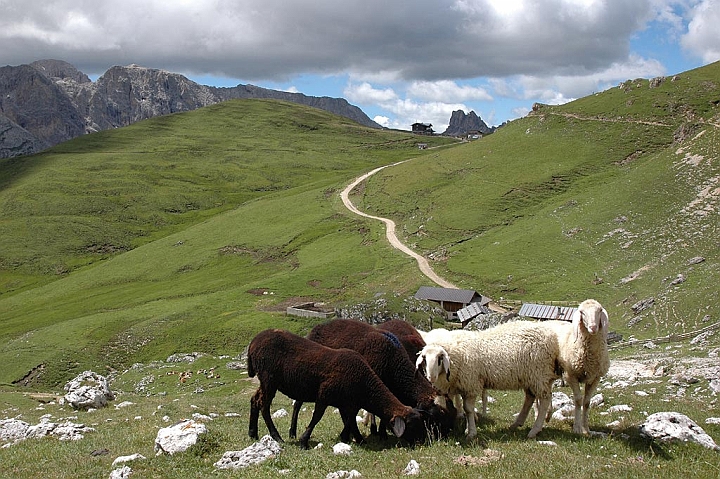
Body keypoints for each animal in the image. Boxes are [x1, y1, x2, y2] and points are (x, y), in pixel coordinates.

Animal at [288, 320, 452, 440]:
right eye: (434, 416)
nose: (443, 436)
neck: (392, 361)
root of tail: (316, 328)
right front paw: (376, 433)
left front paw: (380, 432)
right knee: (297, 404)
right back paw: (292, 432)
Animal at [416, 320, 564, 440]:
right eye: (424, 358)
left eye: (440, 358)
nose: (431, 377)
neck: (457, 354)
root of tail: (551, 336)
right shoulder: (460, 386)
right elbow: (462, 408)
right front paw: (467, 429)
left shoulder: (471, 384)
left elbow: (468, 409)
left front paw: (471, 433)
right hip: (530, 377)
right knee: (530, 398)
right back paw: (516, 424)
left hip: (539, 374)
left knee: (544, 400)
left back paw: (534, 430)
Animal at [536, 300, 612, 436]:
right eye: (582, 312)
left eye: (599, 310)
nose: (593, 327)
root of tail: (546, 321)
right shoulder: (571, 376)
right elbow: (578, 400)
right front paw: (577, 428)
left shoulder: (595, 378)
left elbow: (586, 402)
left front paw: (586, 429)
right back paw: (537, 414)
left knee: (547, 391)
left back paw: (547, 415)